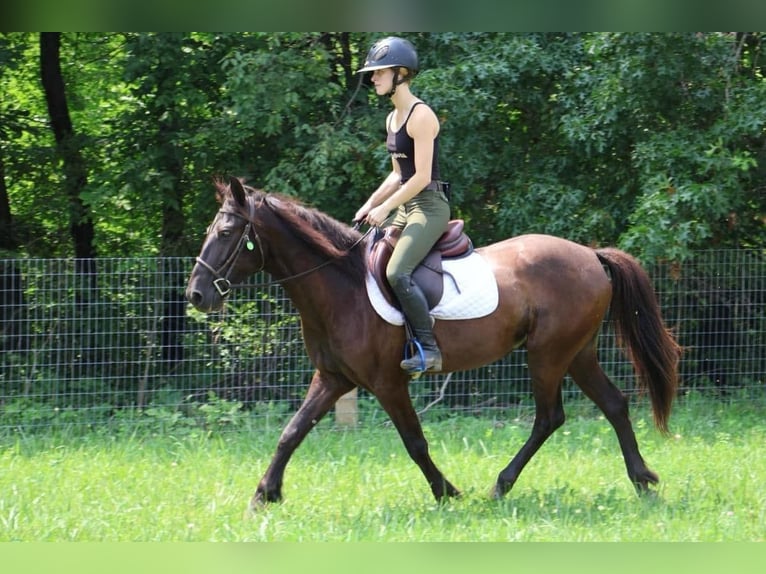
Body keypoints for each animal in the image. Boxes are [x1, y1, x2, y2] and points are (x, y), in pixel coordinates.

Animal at [186, 176, 680, 510]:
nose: (196, 295)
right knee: (613, 404)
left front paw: (447, 492)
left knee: (549, 416)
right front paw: (264, 495)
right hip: (576, 352)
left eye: (226, 234)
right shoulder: (333, 379)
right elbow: (291, 432)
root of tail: (591, 256)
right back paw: (642, 481)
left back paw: (501, 484)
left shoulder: (387, 384)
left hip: (548, 354)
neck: (342, 285)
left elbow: (414, 442)